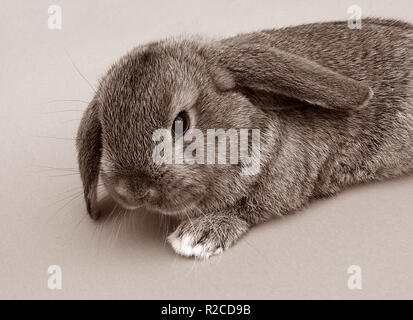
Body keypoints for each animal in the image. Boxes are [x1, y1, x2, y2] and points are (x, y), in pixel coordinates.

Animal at [75, 17, 412, 258]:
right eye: (105, 127)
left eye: (181, 122)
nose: (131, 190)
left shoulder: (281, 185)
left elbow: (249, 206)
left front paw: (198, 236)